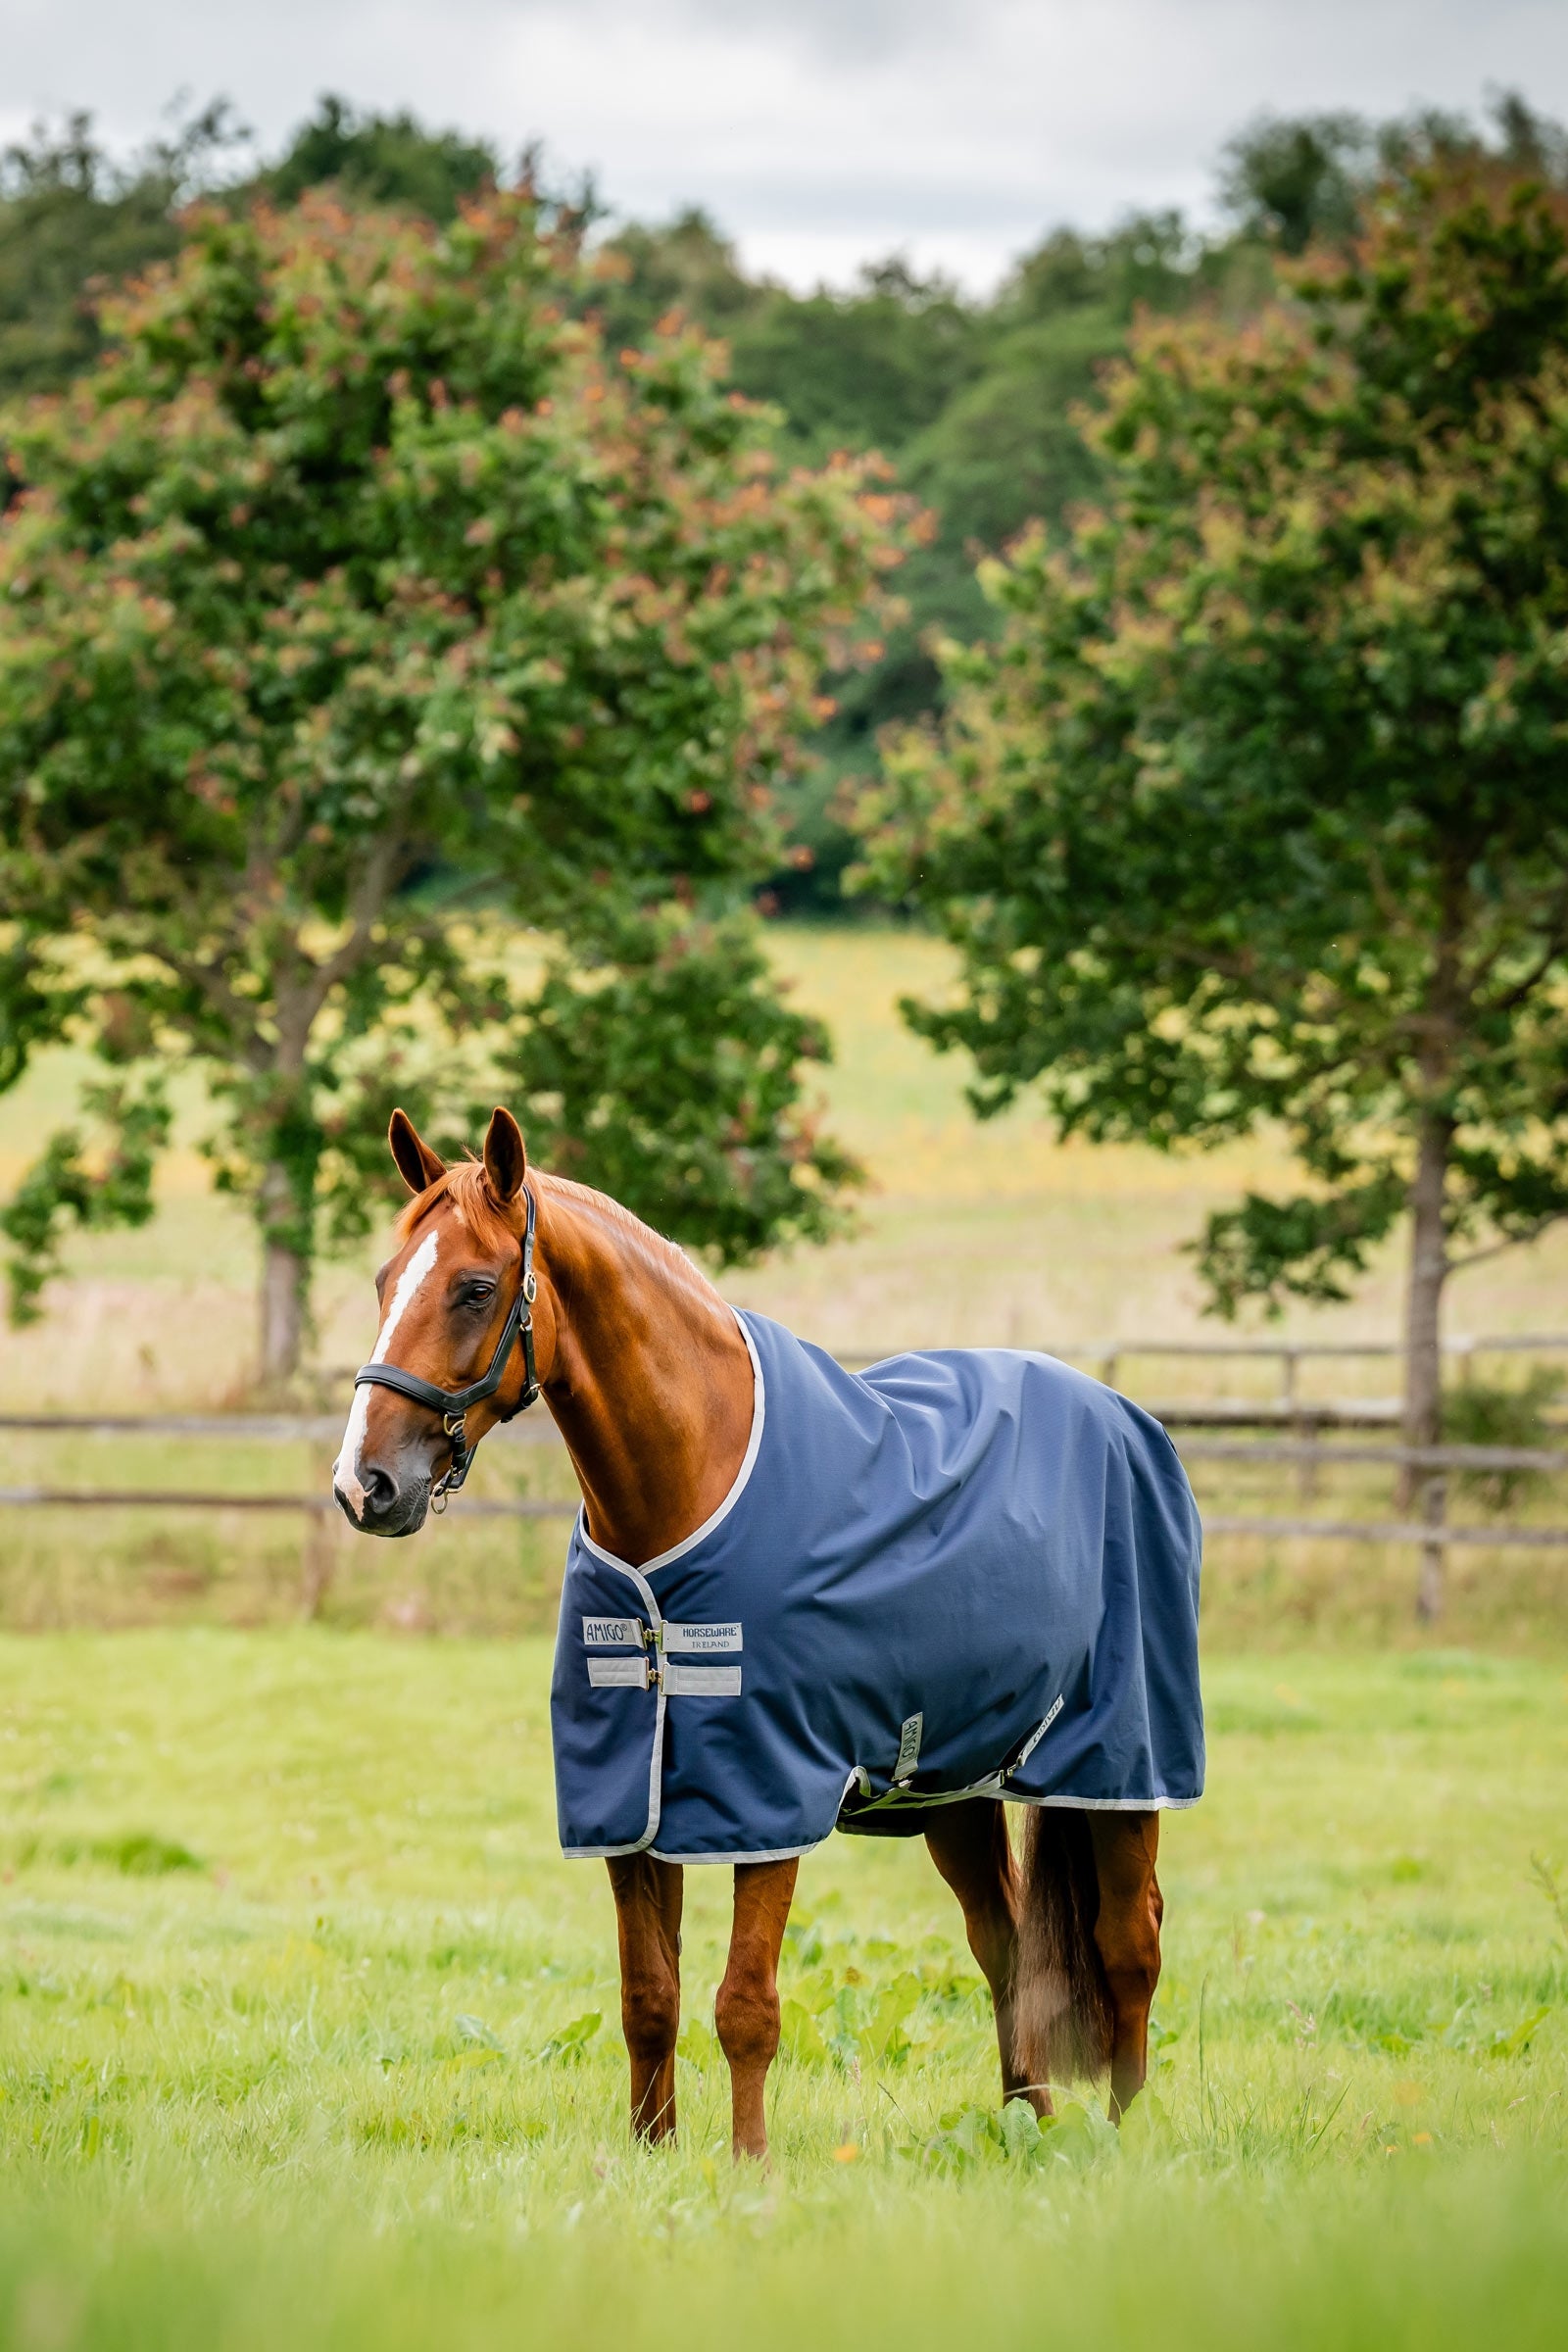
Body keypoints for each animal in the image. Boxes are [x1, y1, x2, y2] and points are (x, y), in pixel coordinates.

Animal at [333, 1106, 1201, 2161]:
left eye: (472, 1287)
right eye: (385, 1281)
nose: (365, 1485)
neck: (689, 1487)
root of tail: (1126, 1419)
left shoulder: (768, 1792)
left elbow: (744, 2005)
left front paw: (750, 2168)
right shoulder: (630, 1801)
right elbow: (647, 2000)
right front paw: (651, 2156)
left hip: (1121, 1766)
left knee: (1130, 1942)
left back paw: (1125, 2135)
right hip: (954, 1784)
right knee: (1003, 1945)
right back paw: (1023, 2125)